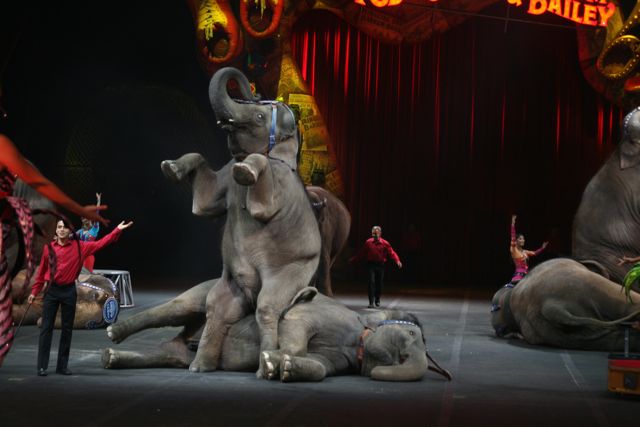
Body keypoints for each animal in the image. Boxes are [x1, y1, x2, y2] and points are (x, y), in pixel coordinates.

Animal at [103, 280, 451, 382]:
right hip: (205, 291)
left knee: (164, 354)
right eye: (412, 336)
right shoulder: (324, 313)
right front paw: (271, 360)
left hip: (176, 351)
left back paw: (111, 358)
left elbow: (320, 368)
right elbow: (296, 324)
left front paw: (280, 367)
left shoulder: (341, 359)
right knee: (176, 308)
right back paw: (113, 332)